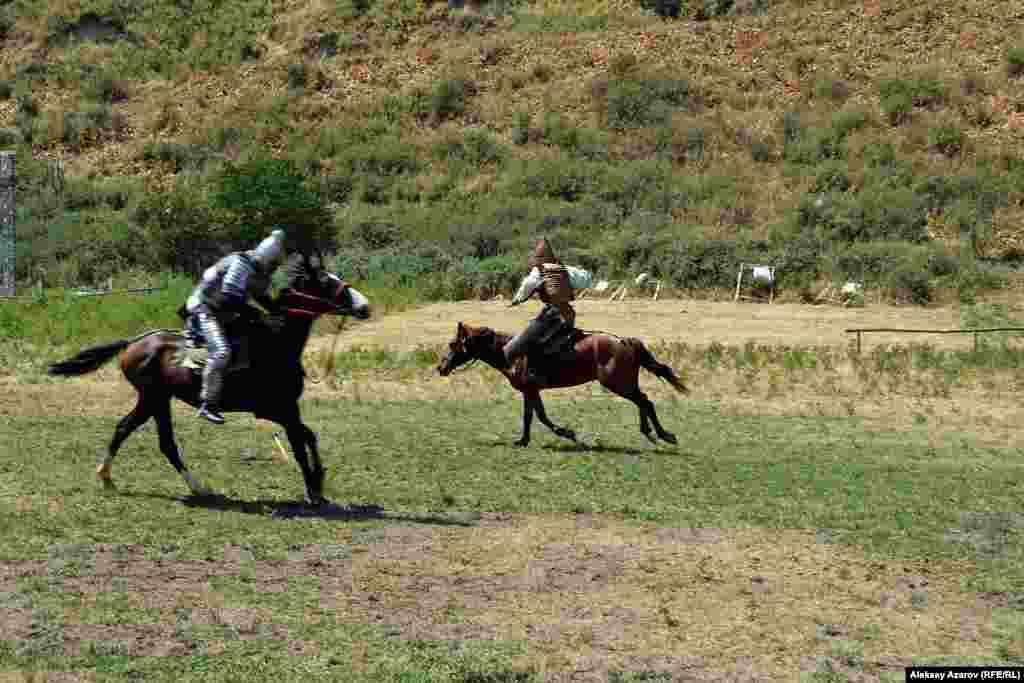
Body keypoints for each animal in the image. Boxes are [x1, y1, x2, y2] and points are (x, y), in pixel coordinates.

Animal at [48, 253, 370, 505]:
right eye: (327, 282)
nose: (364, 306)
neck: (275, 342)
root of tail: (134, 343)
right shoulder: (280, 410)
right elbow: (301, 446)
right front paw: (313, 490)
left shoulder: (285, 410)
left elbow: (309, 436)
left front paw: (319, 484)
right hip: (153, 398)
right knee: (143, 435)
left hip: (158, 400)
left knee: (146, 436)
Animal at [436, 321, 684, 448]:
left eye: (452, 344)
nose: (441, 367)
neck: (511, 352)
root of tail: (624, 341)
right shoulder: (530, 391)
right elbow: (533, 415)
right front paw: (524, 440)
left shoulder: (530, 389)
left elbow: (539, 416)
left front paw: (567, 433)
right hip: (625, 384)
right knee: (643, 402)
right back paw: (649, 433)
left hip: (618, 384)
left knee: (645, 402)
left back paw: (664, 435)